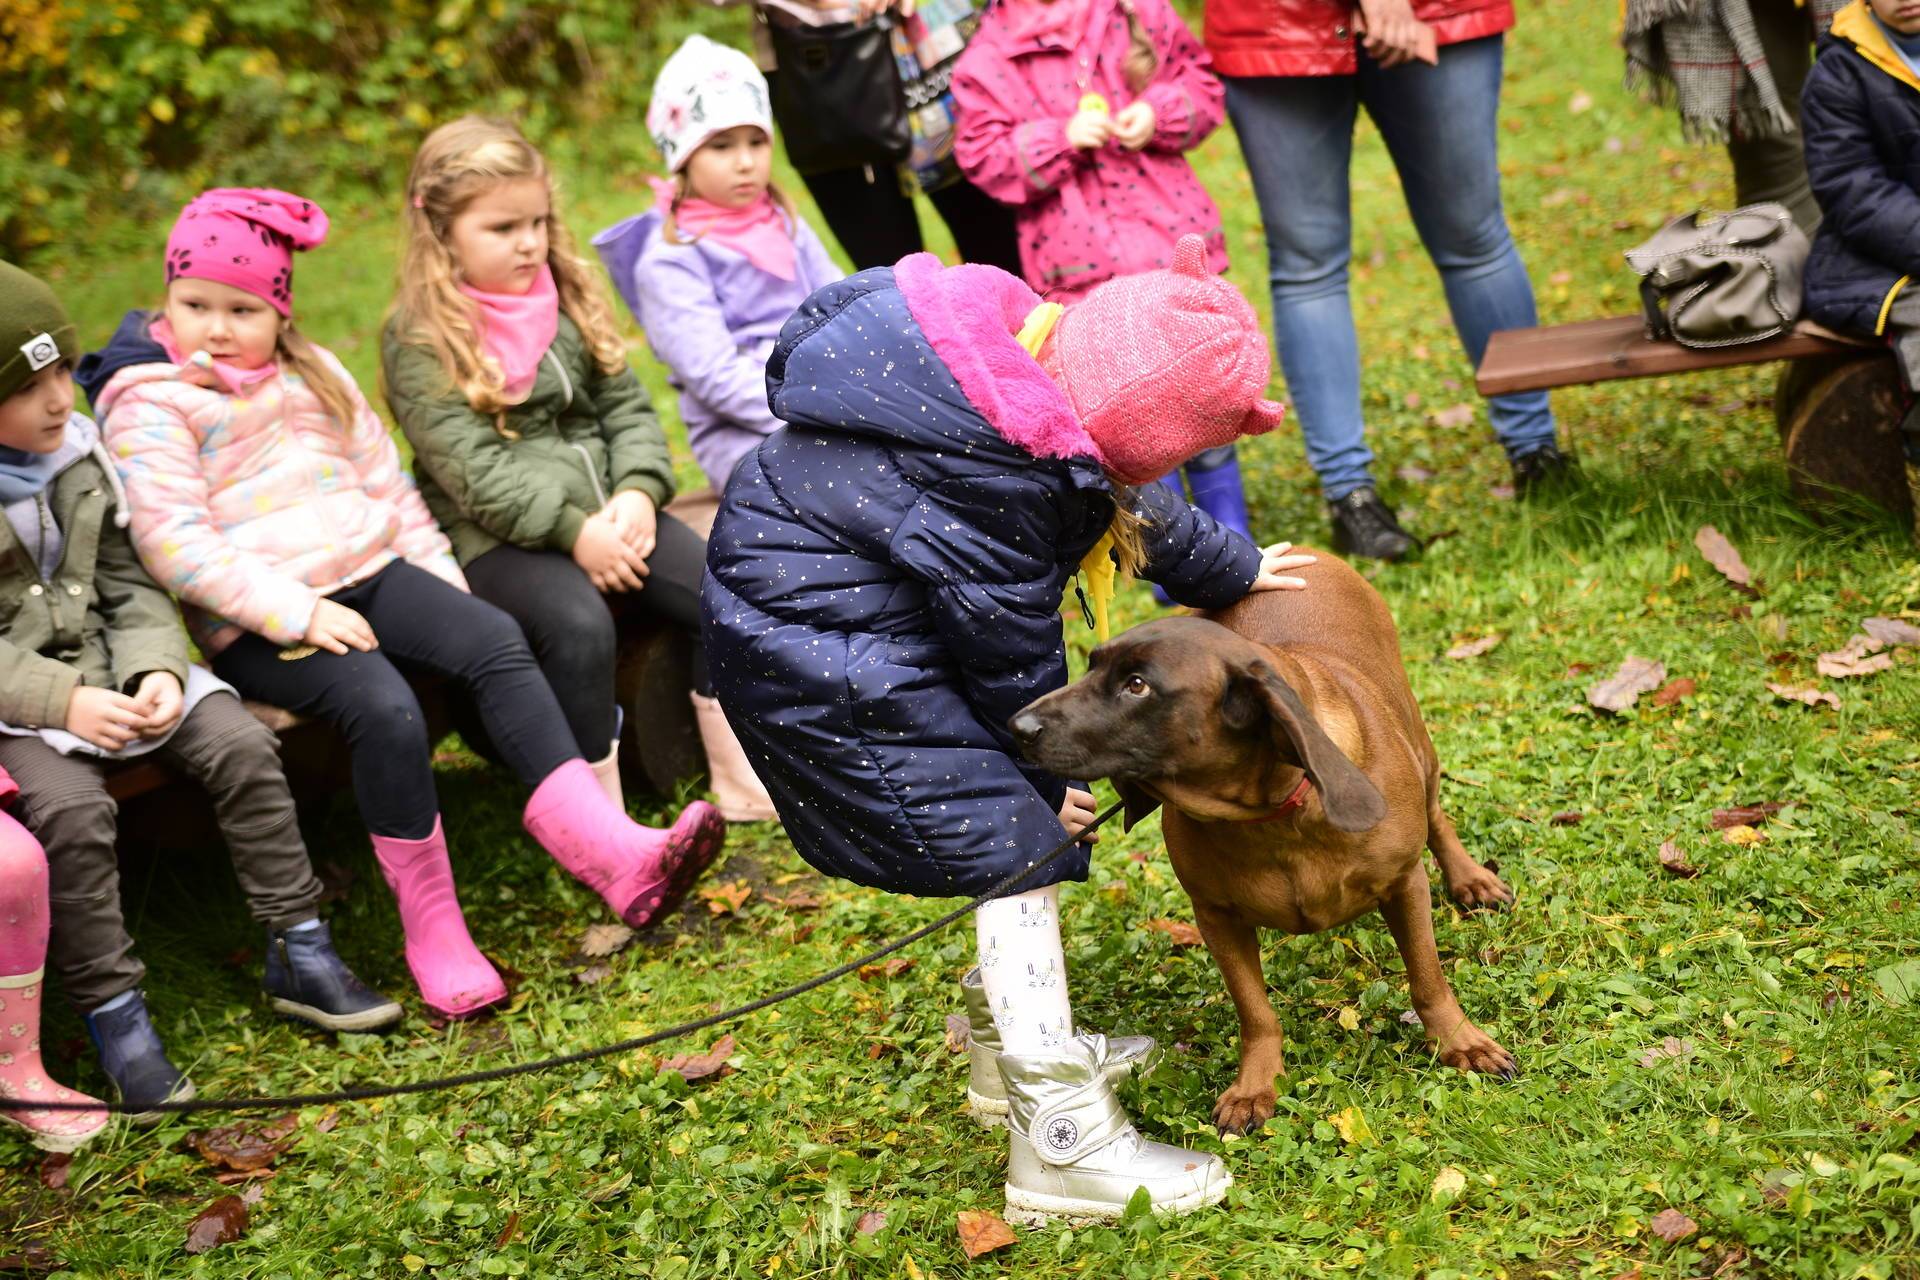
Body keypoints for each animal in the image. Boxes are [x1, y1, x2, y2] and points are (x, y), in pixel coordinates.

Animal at [1011, 549, 1516, 1134]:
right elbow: (1255, 1011)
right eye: (1091, 666)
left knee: (1438, 818)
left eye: (1137, 684)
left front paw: (1459, 1041)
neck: (1274, 815)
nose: (1017, 726)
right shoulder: (1216, 917)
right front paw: (1256, 1085)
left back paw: (1471, 878)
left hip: (1421, 746)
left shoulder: (1404, 885)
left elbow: (1428, 978)